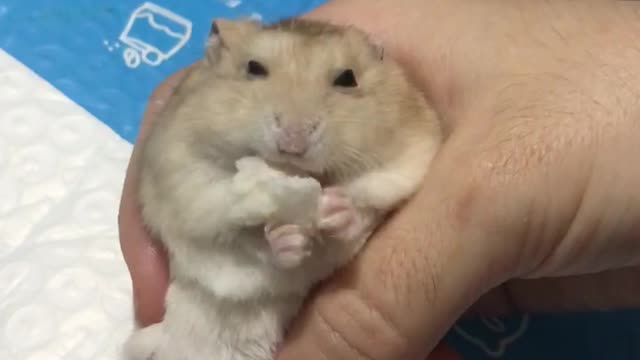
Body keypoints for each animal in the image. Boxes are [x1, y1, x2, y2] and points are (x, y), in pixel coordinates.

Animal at [122, 16, 442, 360]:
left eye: (347, 78)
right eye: (254, 67)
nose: (293, 139)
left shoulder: (406, 164)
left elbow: (359, 216)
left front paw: (336, 208)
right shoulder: (187, 186)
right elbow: (239, 234)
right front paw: (284, 236)